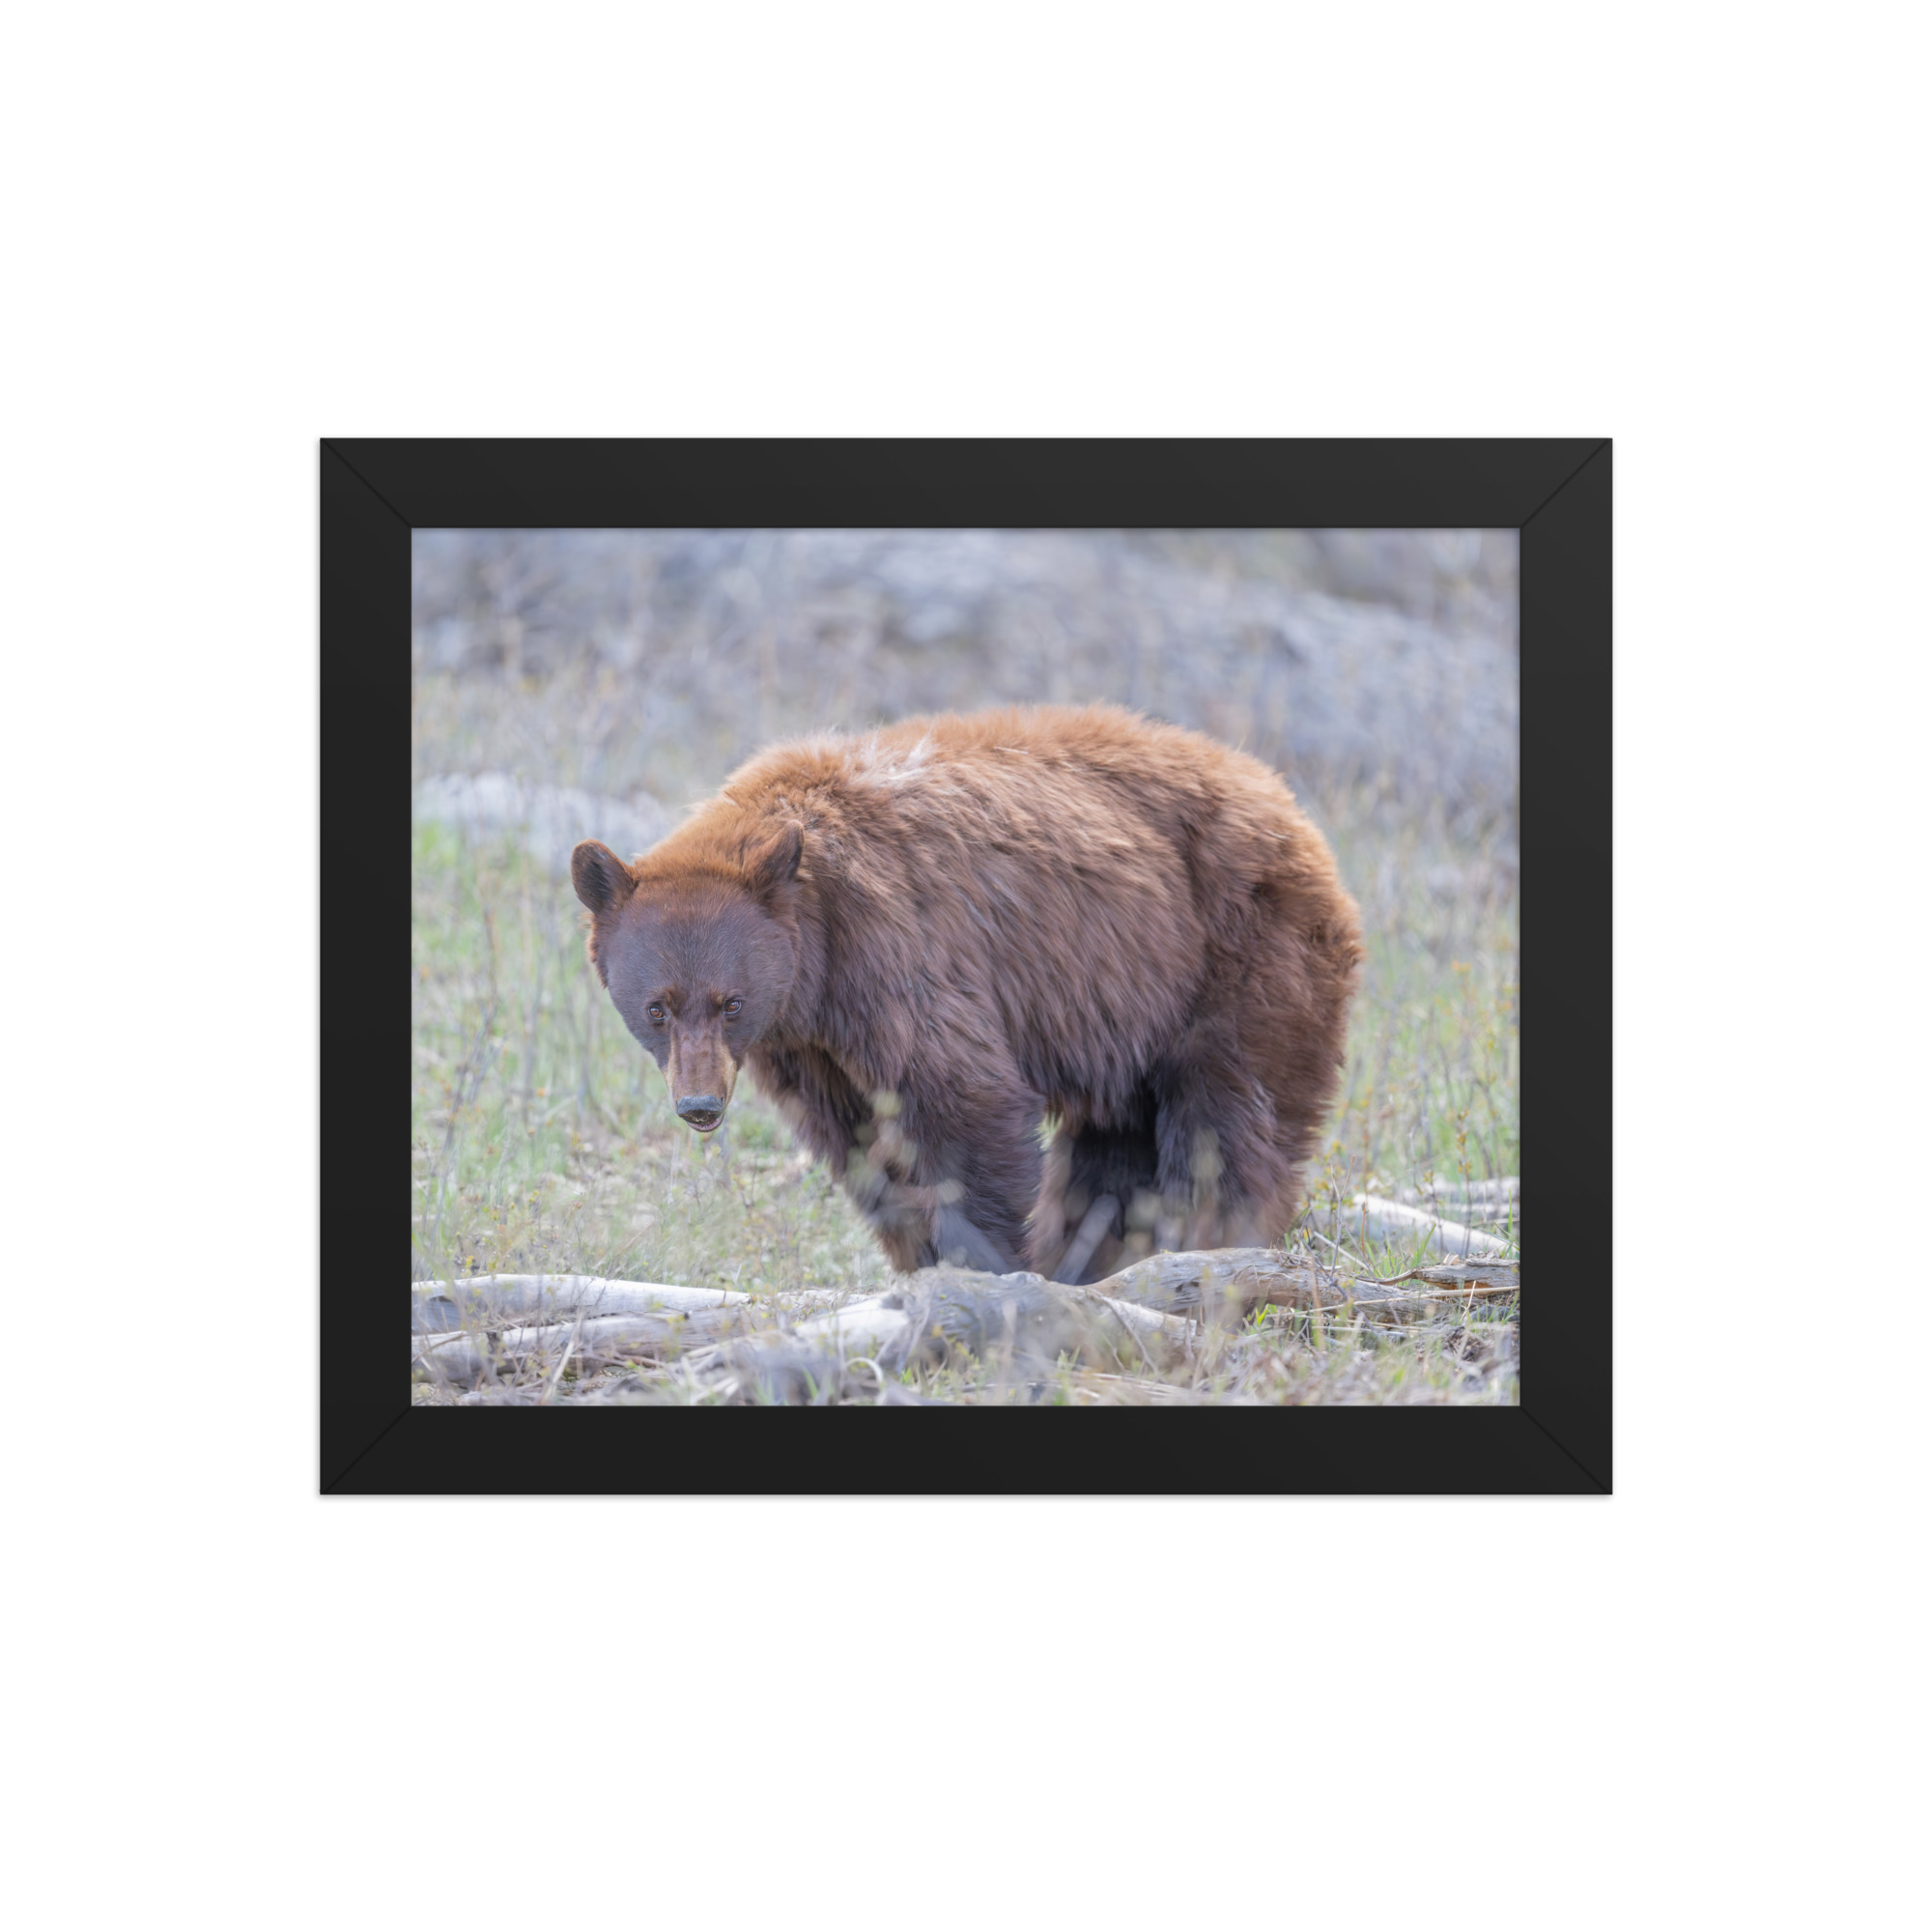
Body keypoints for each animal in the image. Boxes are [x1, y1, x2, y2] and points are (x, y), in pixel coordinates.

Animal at [570, 704, 1363, 1284]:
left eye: (730, 1002)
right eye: (657, 1008)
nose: (699, 1106)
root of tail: (1287, 803)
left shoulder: (898, 952)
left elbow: (963, 1103)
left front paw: (985, 1264)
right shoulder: (809, 1045)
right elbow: (860, 1142)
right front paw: (922, 1259)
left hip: (1237, 955)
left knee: (1227, 1119)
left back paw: (1208, 1241)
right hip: (1131, 1008)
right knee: (1115, 1145)